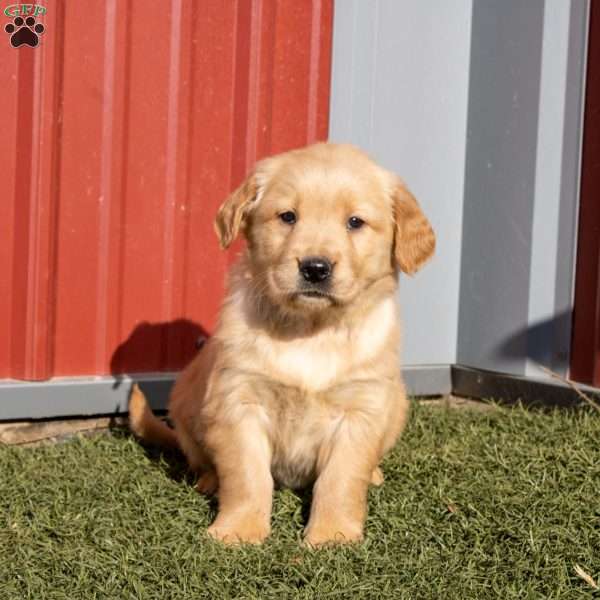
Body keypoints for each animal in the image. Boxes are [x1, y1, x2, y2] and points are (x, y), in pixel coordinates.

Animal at [129, 143, 434, 548]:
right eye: (288, 216)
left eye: (355, 222)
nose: (315, 268)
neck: (311, 330)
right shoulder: (238, 401)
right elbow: (247, 476)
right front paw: (238, 530)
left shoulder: (361, 409)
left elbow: (340, 479)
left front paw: (332, 535)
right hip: (186, 398)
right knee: (201, 457)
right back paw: (209, 481)